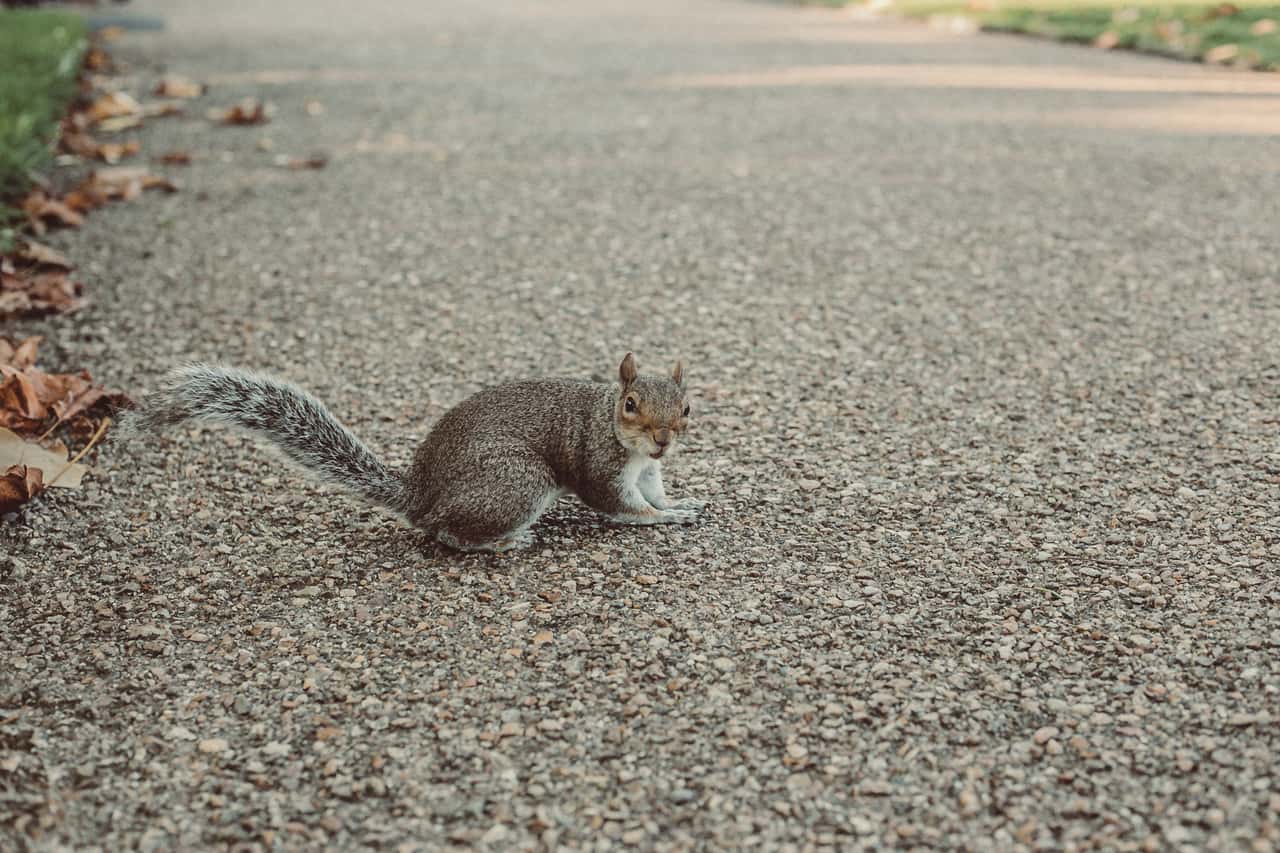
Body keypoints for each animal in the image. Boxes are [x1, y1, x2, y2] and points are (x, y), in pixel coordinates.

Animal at [122, 352, 704, 552]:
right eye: (630, 405)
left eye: (687, 406)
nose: (663, 440)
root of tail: (421, 496)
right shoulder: (601, 467)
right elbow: (622, 506)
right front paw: (662, 519)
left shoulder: (644, 470)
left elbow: (653, 492)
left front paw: (678, 504)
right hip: (517, 481)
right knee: (446, 533)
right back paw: (501, 542)